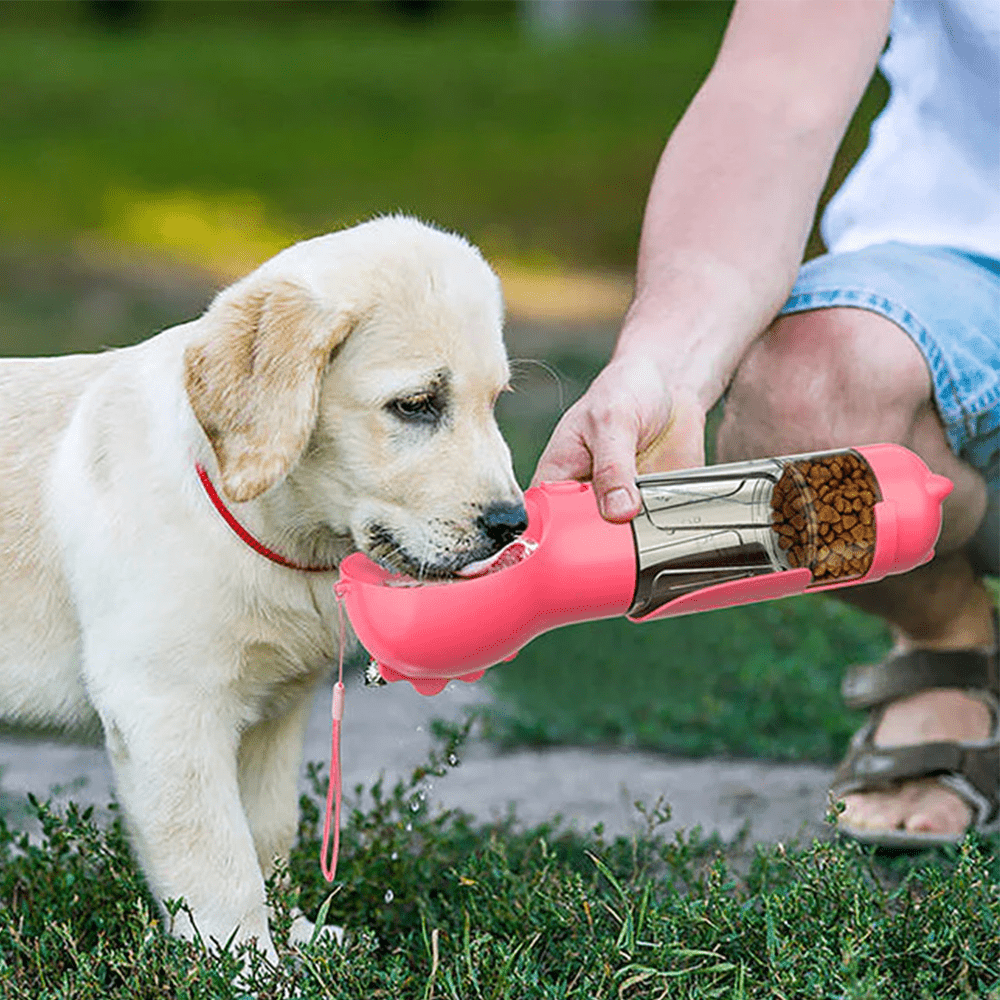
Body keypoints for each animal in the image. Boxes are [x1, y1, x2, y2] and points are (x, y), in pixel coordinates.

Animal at [0, 217, 528, 952]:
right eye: (417, 405)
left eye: (495, 402)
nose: (513, 524)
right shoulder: (166, 707)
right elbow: (218, 859)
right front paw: (246, 961)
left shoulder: (275, 713)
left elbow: (269, 834)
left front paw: (298, 935)